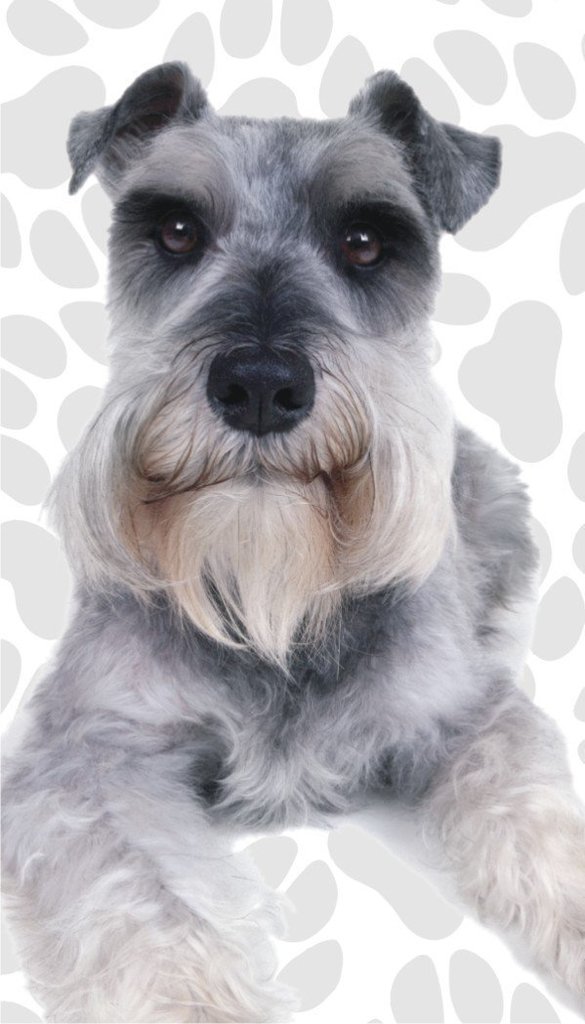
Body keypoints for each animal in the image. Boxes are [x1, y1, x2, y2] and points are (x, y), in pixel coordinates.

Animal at [2, 62, 584, 1023]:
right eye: (176, 230)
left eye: (364, 241)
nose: (260, 384)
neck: (272, 595)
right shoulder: (91, 749)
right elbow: (144, 895)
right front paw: (195, 1003)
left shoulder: (465, 711)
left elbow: (535, 814)